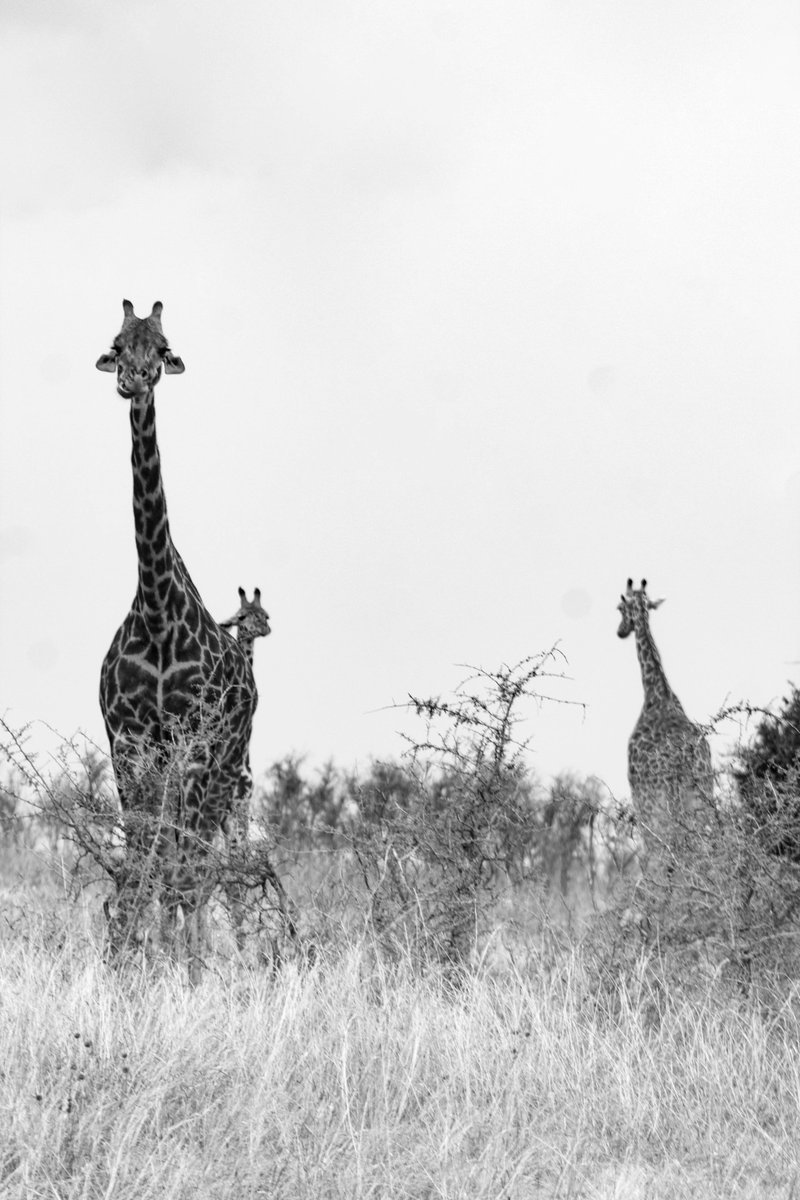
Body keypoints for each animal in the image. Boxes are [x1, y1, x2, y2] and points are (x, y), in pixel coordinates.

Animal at [617, 578, 713, 860]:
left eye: (619, 608)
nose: (620, 631)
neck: (657, 694)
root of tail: (690, 759)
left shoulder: (641, 799)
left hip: (666, 803)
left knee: (673, 850)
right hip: (703, 799)